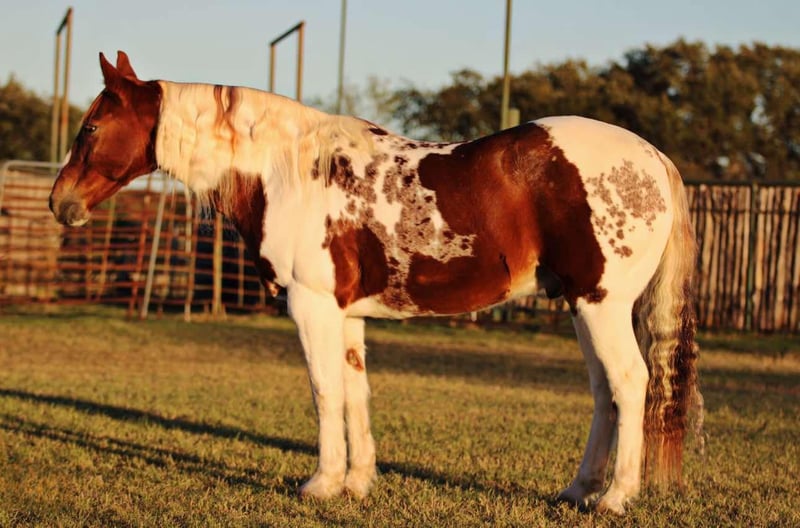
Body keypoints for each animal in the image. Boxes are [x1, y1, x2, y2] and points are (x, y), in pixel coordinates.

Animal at [49, 51, 702, 514]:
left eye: (93, 126)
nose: (61, 203)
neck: (287, 172)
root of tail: (653, 157)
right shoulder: (348, 313)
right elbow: (355, 391)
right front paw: (359, 482)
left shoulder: (311, 306)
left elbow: (324, 391)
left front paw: (321, 482)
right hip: (581, 305)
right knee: (603, 391)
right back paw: (578, 491)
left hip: (601, 305)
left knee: (629, 382)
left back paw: (615, 497)